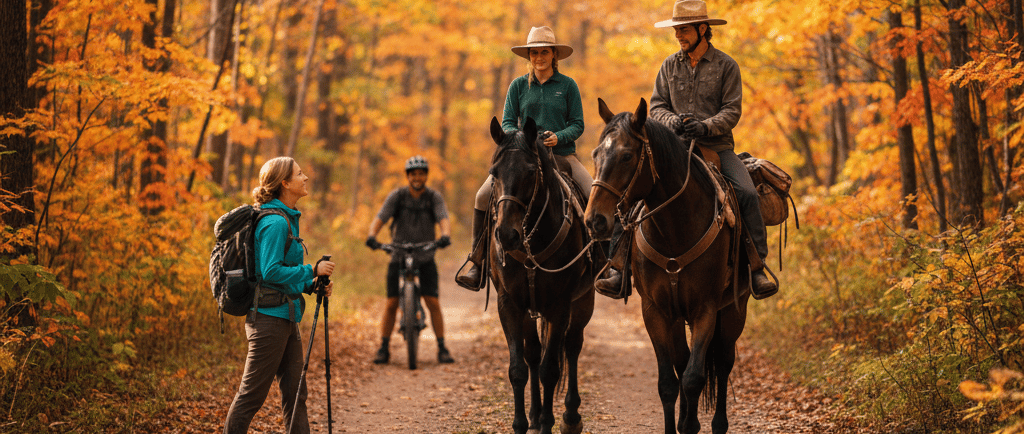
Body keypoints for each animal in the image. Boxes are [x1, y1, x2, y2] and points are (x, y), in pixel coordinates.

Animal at [486, 116, 596, 434]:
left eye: (531, 172)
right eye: (494, 172)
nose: (506, 235)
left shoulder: (559, 306)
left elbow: (551, 370)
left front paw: (549, 423)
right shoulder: (510, 304)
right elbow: (518, 368)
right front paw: (523, 423)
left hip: (583, 302)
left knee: (571, 346)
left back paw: (570, 417)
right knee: (534, 353)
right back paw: (535, 415)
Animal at [584, 98, 751, 434]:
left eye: (626, 155)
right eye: (596, 154)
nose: (594, 220)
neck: (676, 229)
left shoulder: (705, 310)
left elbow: (693, 378)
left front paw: (691, 424)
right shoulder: (656, 311)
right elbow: (669, 382)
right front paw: (680, 423)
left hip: (732, 311)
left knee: (723, 363)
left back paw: (718, 424)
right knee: (682, 361)